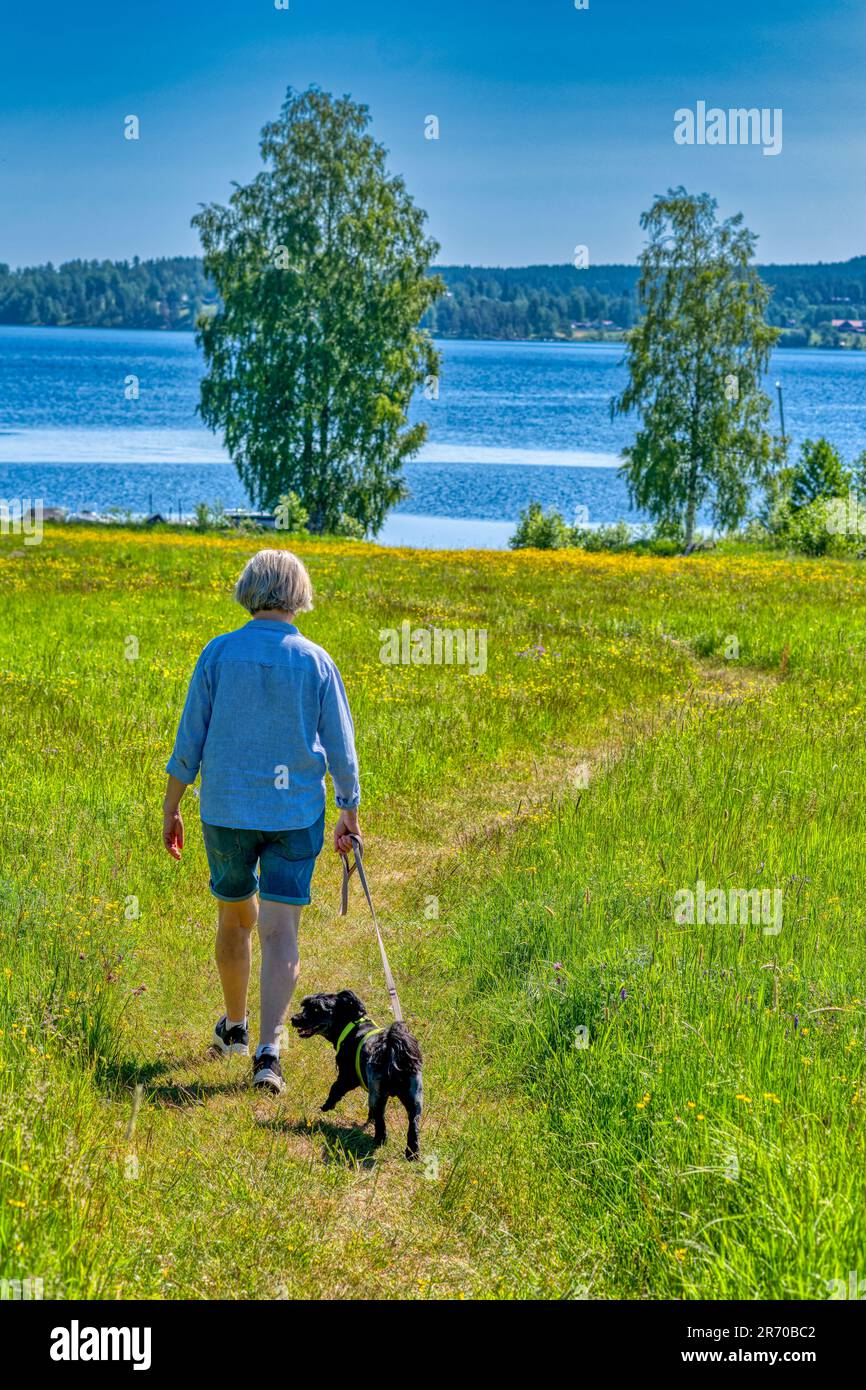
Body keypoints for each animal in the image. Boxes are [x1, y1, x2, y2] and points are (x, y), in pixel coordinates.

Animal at [291, 989, 422, 1162]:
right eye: (305, 1006)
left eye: (317, 1009)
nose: (294, 1019)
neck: (352, 1028)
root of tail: (392, 1048)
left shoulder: (347, 1077)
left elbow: (335, 1088)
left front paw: (327, 1105)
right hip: (415, 1097)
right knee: (413, 1124)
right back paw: (412, 1153)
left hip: (377, 1093)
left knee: (381, 1121)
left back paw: (379, 1140)